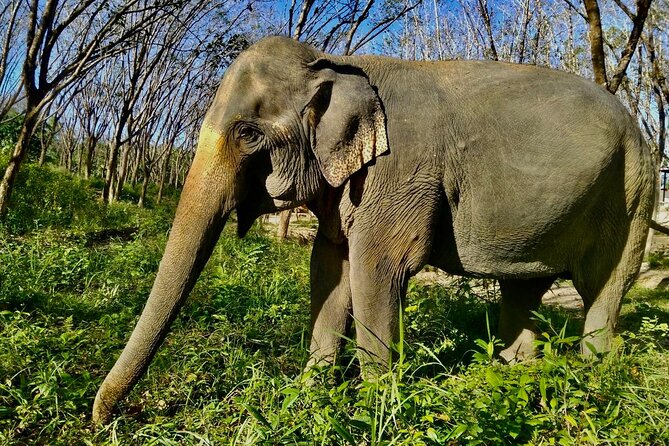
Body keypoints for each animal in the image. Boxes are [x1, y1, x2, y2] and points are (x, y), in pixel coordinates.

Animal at [91, 36, 656, 424]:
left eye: (248, 134)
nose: (105, 420)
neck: (334, 61)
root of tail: (639, 126)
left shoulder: (398, 172)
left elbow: (376, 270)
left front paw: (375, 409)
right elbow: (330, 268)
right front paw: (311, 395)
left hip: (632, 190)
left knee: (604, 290)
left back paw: (595, 383)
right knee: (524, 288)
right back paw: (516, 375)